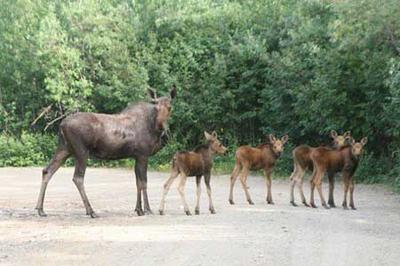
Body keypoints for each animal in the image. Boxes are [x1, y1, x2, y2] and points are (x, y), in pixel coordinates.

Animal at [34, 86, 177, 217]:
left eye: (170, 107)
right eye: (156, 107)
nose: (162, 127)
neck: (153, 128)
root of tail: (61, 125)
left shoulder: (137, 156)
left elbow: (138, 183)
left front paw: (138, 209)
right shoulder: (143, 154)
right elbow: (143, 182)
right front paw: (146, 209)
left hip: (65, 148)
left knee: (47, 171)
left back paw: (40, 209)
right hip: (81, 151)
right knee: (78, 178)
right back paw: (91, 211)